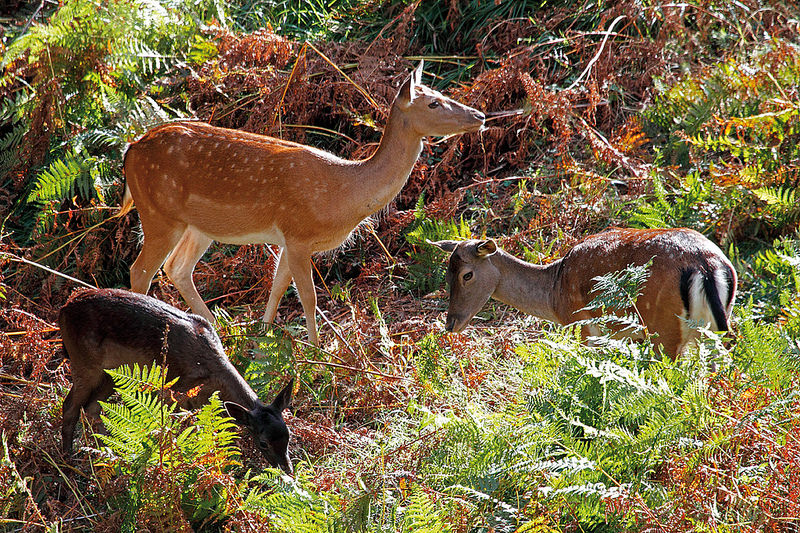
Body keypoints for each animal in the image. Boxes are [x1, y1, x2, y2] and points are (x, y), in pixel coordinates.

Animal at [59, 288, 296, 472]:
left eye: (288, 435)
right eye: (263, 443)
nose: (287, 468)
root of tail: (63, 310)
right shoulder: (170, 392)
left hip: (110, 374)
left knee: (93, 407)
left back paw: (111, 454)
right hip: (84, 363)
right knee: (70, 406)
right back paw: (68, 461)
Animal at [434, 228, 740, 358]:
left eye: (467, 275)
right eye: (446, 273)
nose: (451, 323)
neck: (554, 292)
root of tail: (706, 265)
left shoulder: (581, 325)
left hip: (663, 327)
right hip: (715, 327)